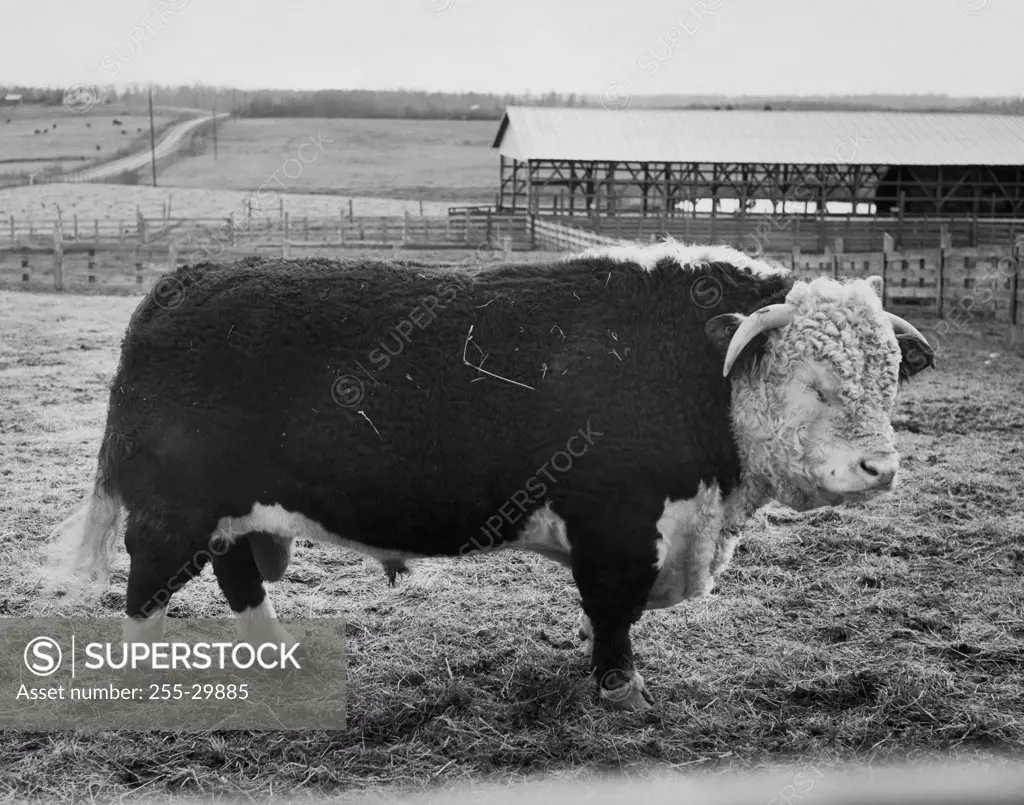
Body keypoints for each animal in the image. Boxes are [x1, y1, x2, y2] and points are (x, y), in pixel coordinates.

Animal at [54, 242, 937, 708]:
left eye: (891, 378)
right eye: (815, 384)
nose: (880, 467)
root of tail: (189, 277)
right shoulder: (615, 528)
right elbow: (612, 614)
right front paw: (620, 689)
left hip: (231, 510)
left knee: (237, 574)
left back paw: (274, 655)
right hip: (173, 510)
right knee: (146, 590)